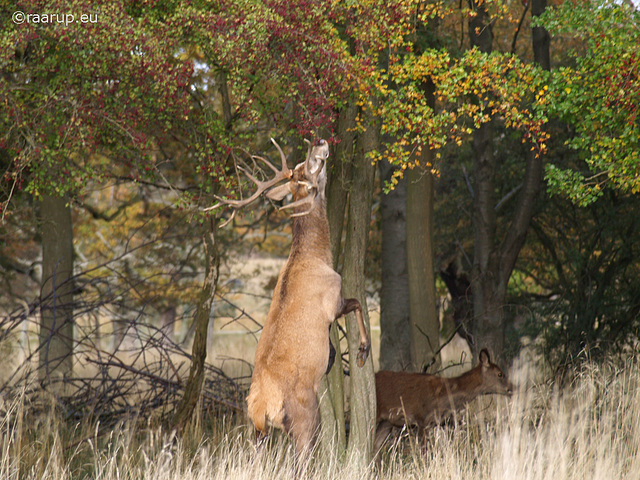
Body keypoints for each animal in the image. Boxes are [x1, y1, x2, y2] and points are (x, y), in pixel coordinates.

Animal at [211, 138, 370, 458]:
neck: (316, 256)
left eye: (300, 165)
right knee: (303, 456)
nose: (320, 141)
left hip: (257, 433)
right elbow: (357, 303)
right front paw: (362, 351)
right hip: (305, 418)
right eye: (311, 167)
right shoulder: (333, 299)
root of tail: (262, 408)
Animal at [372, 348, 512, 454]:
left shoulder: (436, 423)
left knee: (375, 446)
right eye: (500, 374)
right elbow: (425, 452)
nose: (511, 388)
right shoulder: (422, 419)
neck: (443, 395)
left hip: (387, 422)